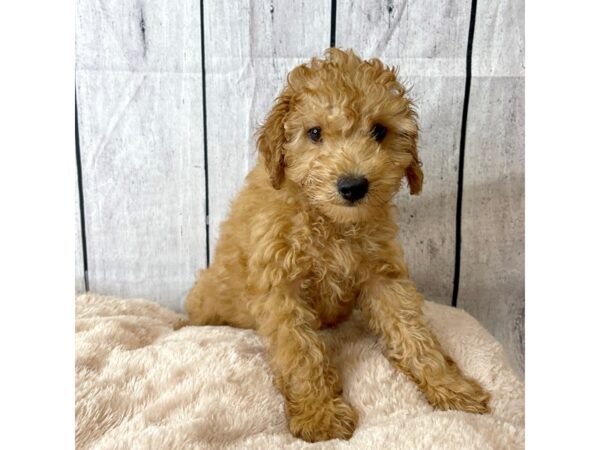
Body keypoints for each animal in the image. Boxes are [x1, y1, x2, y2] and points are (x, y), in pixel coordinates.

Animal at [185, 47, 490, 442]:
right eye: (314, 133)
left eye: (379, 131)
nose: (353, 186)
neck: (330, 223)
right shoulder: (280, 288)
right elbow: (300, 351)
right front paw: (319, 414)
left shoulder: (383, 274)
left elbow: (412, 331)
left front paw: (450, 386)